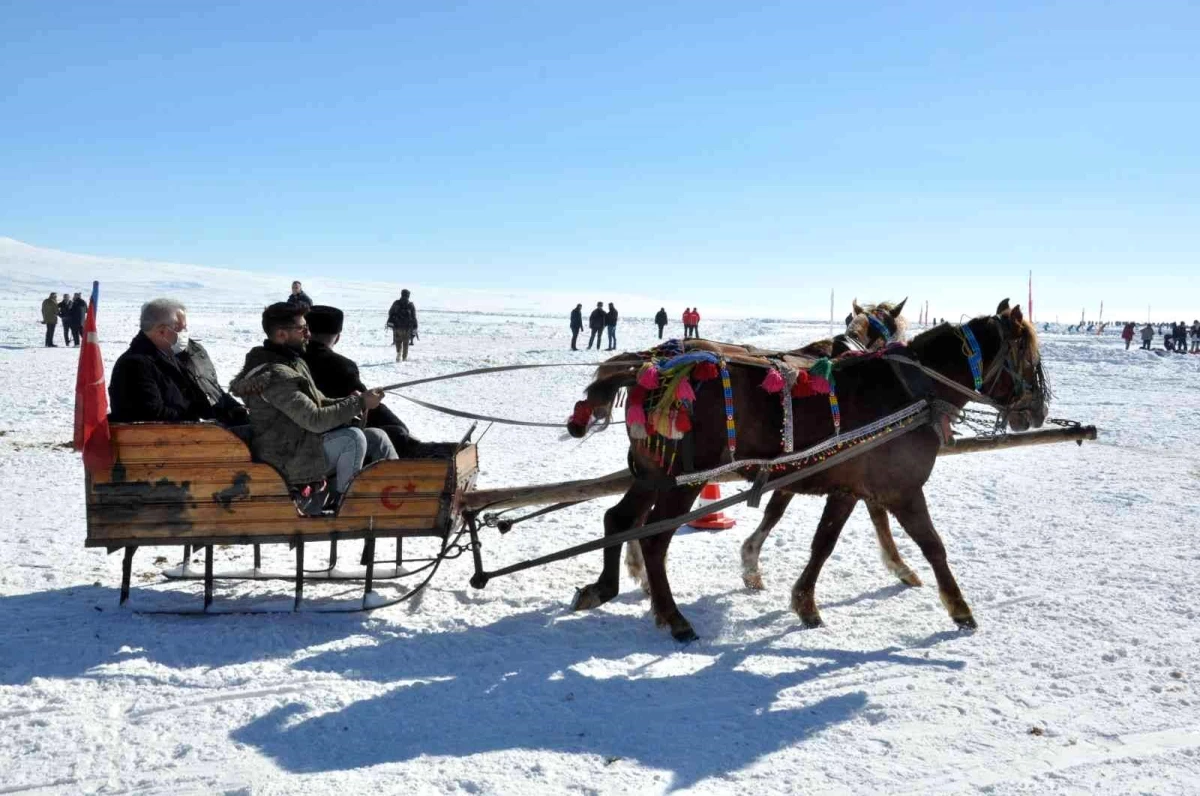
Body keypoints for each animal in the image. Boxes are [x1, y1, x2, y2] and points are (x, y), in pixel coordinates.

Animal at [566, 298, 1046, 643]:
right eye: (1028, 358)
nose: (1038, 411)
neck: (912, 391)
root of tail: (649, 369)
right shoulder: (902, 488)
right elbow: (933, 546)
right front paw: (958, 607)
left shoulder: (848, 487)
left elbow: (822, 542)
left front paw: (803, 600)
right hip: (685, 480)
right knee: (654, 539)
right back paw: (672, 616)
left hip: (654, 473)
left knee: (620, 520)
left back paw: (603, 587)